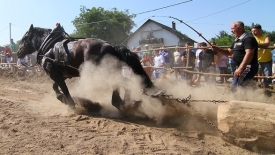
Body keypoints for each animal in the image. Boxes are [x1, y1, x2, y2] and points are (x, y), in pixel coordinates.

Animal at [17, 23, 155, 110]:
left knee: (121, 84)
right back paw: (127, 103)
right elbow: (55, 87)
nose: (18, 53)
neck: (49, 47)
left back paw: (121, 104)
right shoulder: (63, 75)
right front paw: (63, 98)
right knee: (124, 83)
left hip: (100, 74)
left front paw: (70, 104)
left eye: (24, 38)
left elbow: (63, 89)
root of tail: (112, 47)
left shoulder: (54, 73)